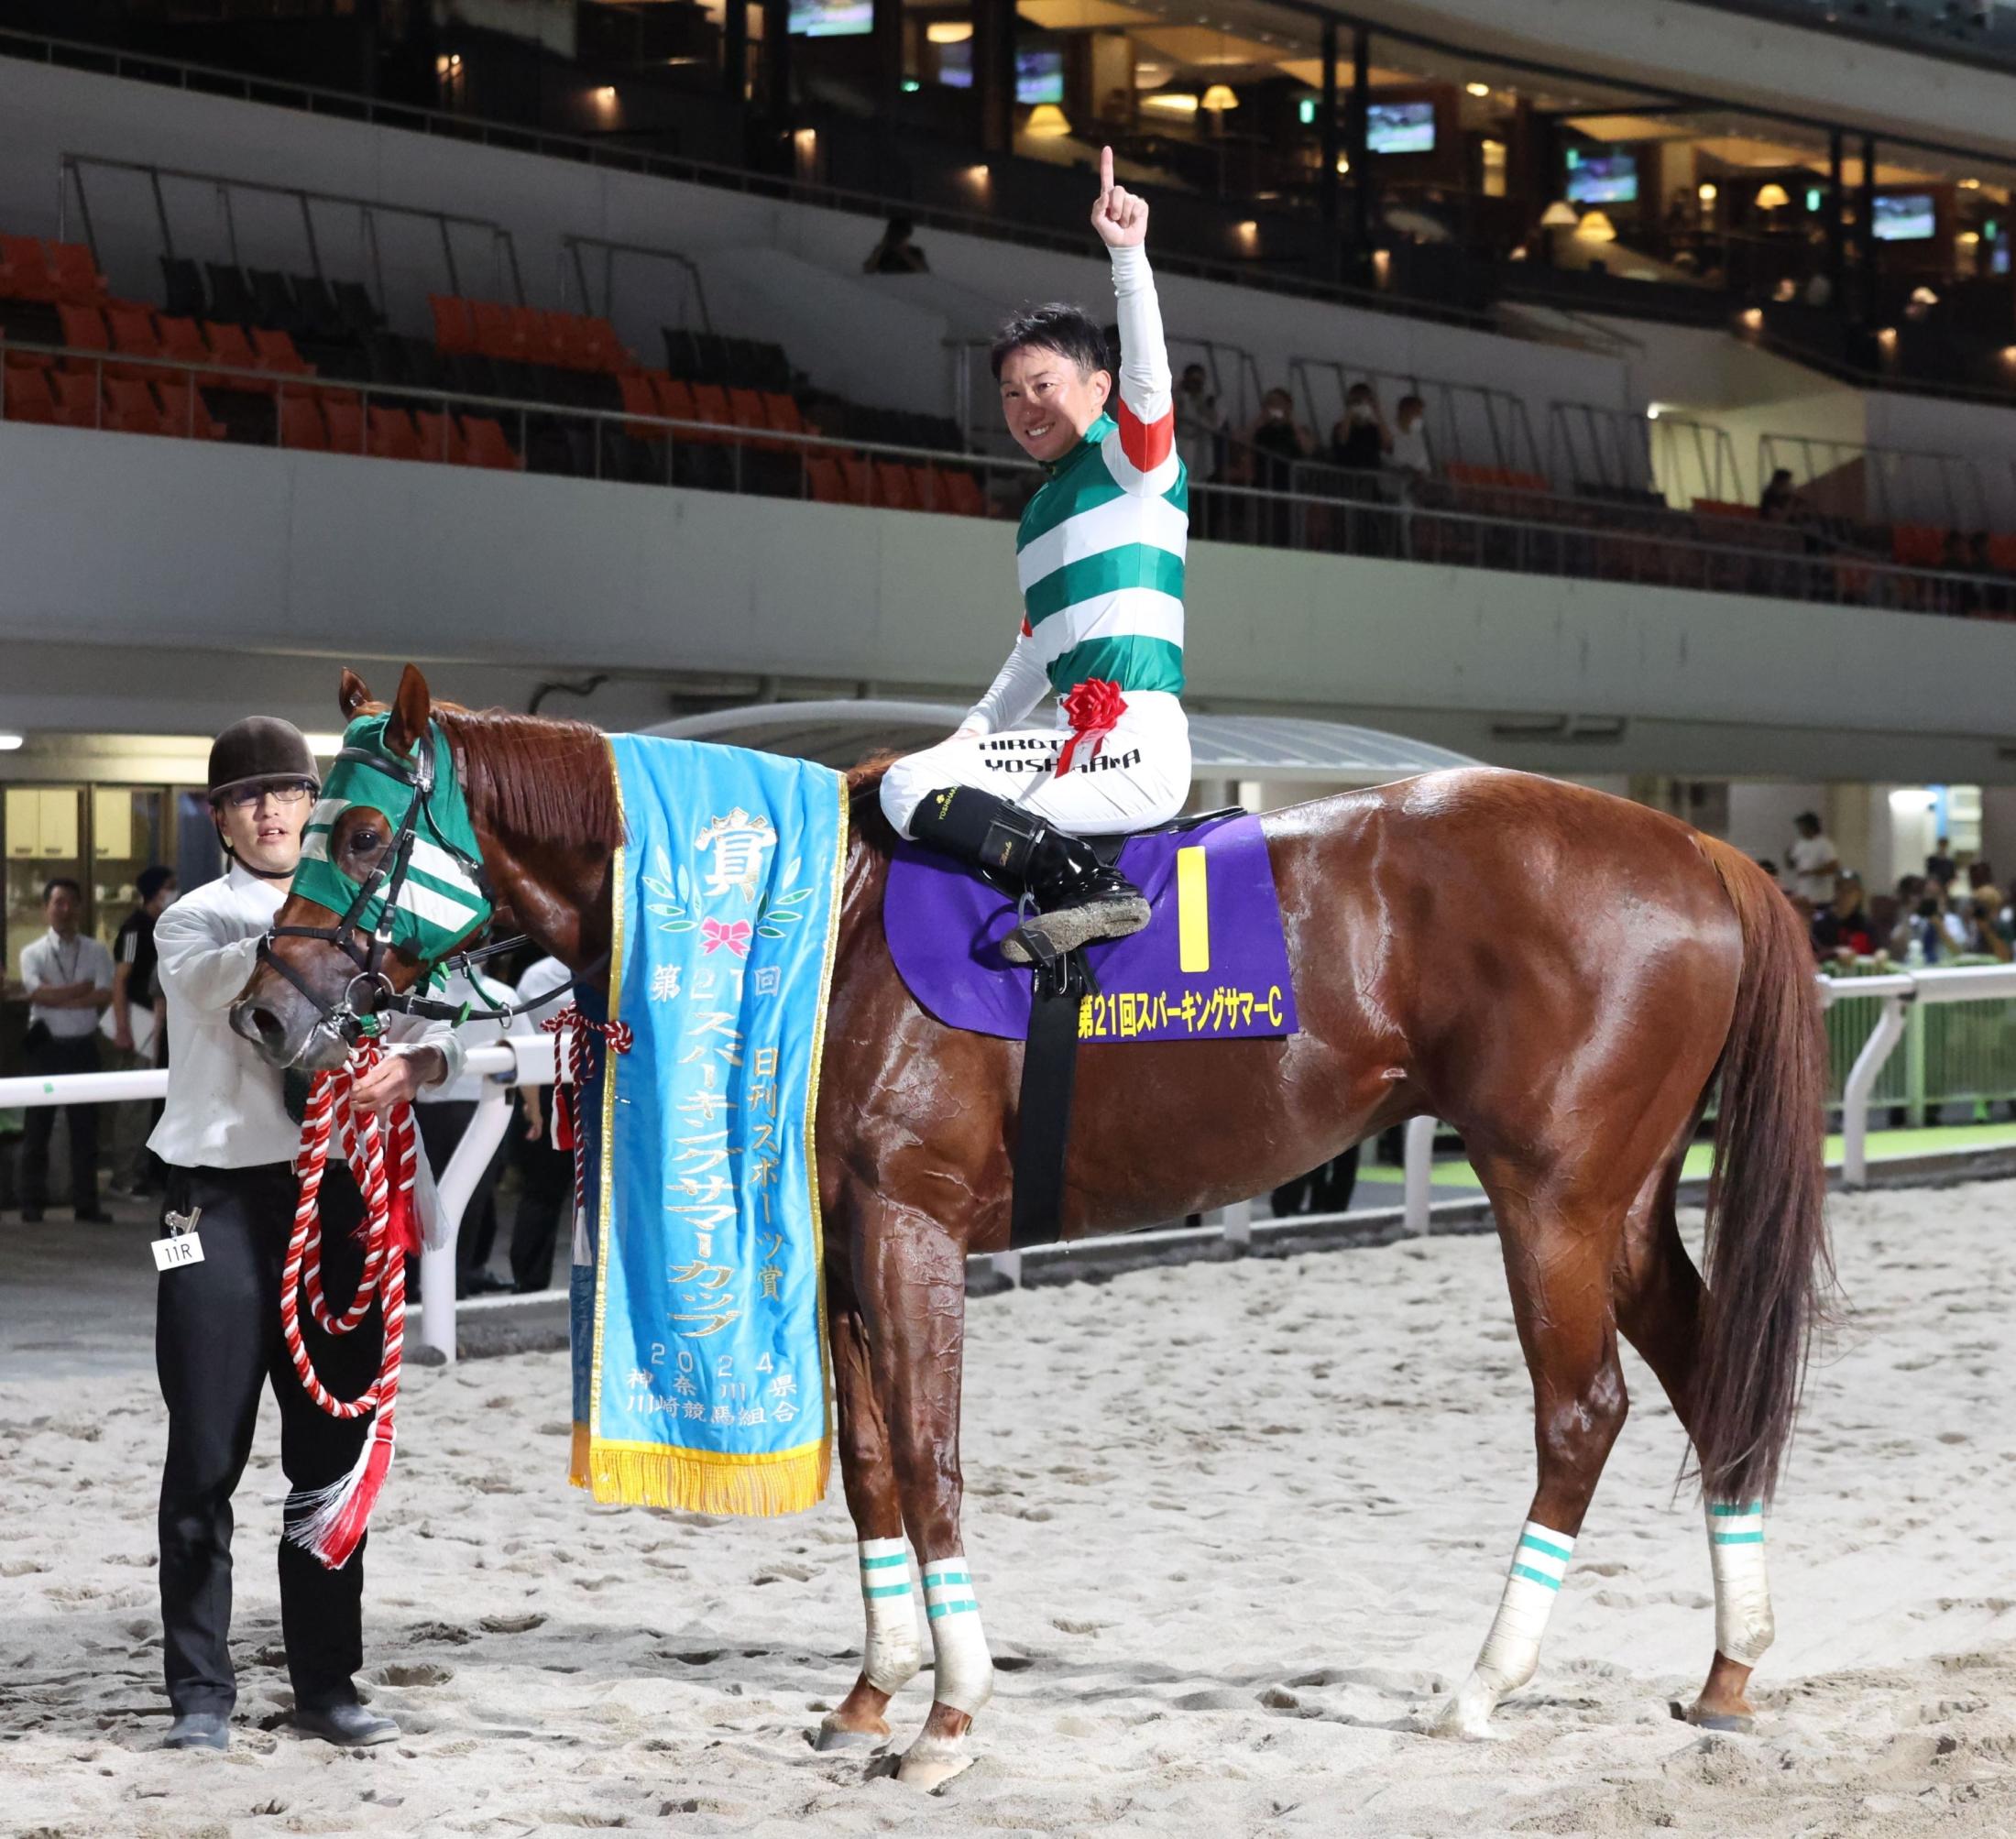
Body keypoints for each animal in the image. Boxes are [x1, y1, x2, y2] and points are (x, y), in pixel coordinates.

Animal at [232, 669, 1830, 1790]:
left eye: (360, 827)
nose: (264, 1012)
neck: (817, 923)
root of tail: (1702, 845)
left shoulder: (911, 1225)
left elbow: (934, 1459)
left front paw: (948, 1714)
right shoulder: (840, 1229)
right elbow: (874, 1465)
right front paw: (869, 1692)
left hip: (1549, 1196)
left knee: (1583, 1409)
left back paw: (1485, 1682)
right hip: (1626, 1201)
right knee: (1710, 1381)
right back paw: (1729, 1666)